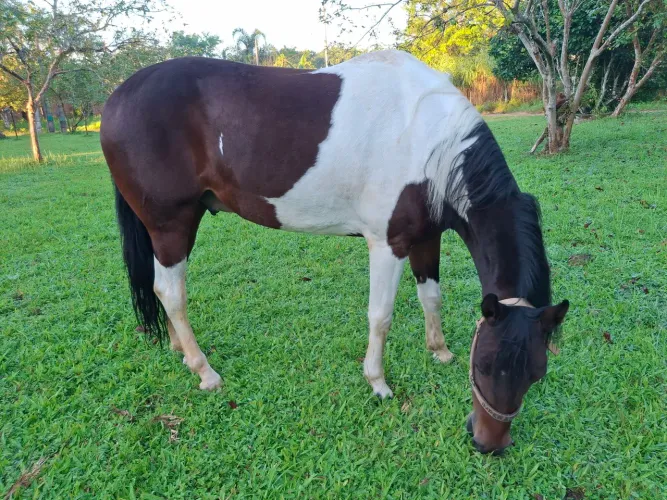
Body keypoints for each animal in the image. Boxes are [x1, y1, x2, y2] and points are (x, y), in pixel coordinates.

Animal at [100, 50, 569, 455]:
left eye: (537, 373)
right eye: (486, 366)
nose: (489, 444)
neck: (427, 136)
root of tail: (117, 99)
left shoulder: (426, 237)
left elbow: (430, 296)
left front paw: (438, 350)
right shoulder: (388, 243)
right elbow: (380, 316)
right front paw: (377, 382)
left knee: (164, 291)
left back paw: (180, 351)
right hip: (171, 224)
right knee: (171, 292)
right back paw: (204, 370)